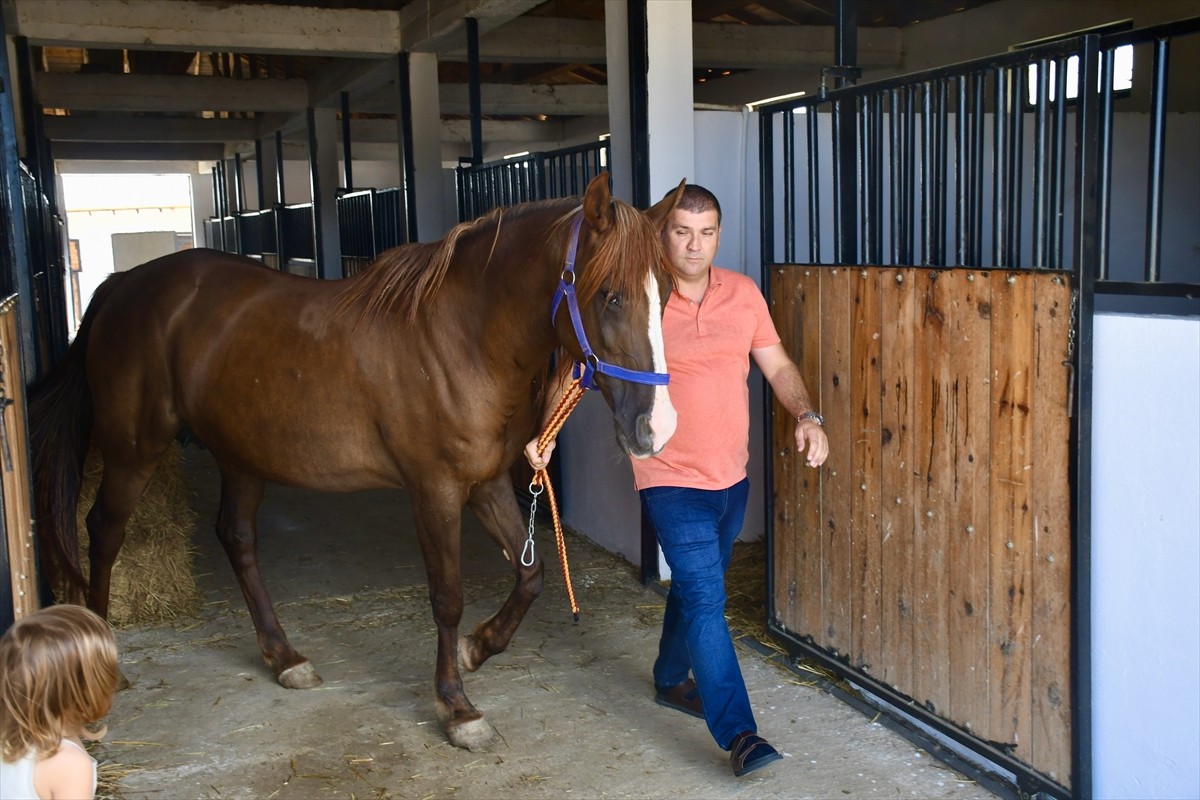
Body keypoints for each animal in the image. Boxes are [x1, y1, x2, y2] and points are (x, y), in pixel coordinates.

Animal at [30, 173, 686, 753]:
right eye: (611, 295)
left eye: (668, 293)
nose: (656, 429)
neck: (463, 337)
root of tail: (121, 284)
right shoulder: (434, 490)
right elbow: (446, 596)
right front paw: (456, 707)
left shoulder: (484, 483)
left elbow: (532, 576)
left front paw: (479, 648)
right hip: (132, 450)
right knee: (103, 531)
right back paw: (104, 670)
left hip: (240, 455)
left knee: (236, 537)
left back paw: (284, 657)